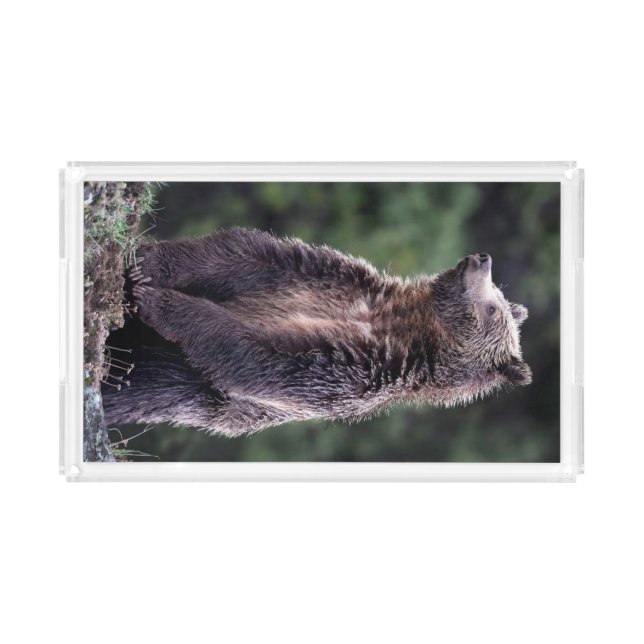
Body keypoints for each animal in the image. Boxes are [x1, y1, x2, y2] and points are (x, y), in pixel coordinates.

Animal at [102, 227, 531, 436]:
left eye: (493, 307)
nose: (481, 258)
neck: (397, 322)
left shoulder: (355, 370)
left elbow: (261, 357)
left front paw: (159, 301)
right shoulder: (334, 280)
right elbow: (246, 254)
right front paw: (146, 266)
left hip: (166, 381)